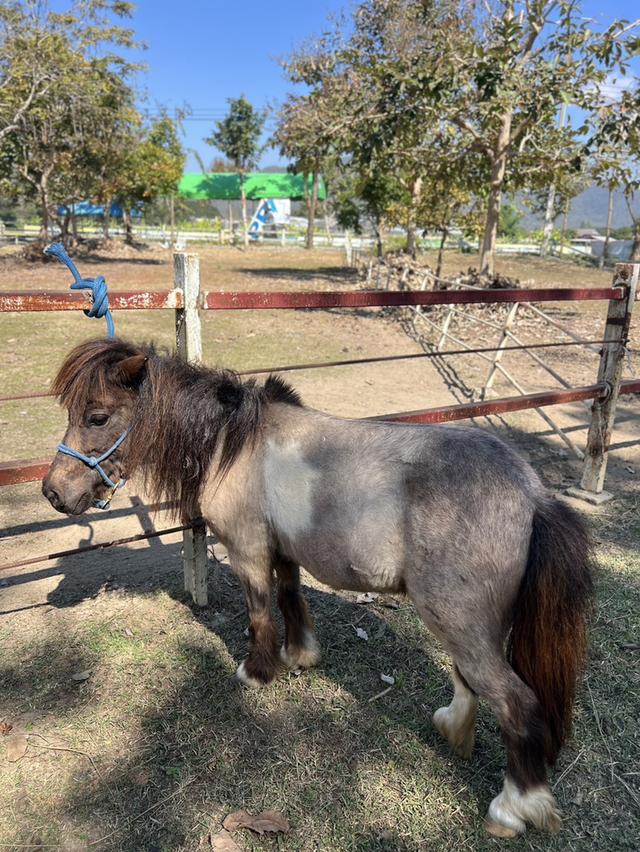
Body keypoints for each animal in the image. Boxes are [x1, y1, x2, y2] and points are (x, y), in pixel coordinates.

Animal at [42, 337, 593, 838]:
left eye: (97, 416)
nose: (53, 492)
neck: (234, 444)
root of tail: (533, 494)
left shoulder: (248, 550)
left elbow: (260, 611)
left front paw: (257, 671)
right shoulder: (284, 551)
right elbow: (291, 598)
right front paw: (300, 655)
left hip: (458, 619)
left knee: (515, 702)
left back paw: (512, 809)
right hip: (473, 625)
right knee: (470, 679)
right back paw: (452, 728)